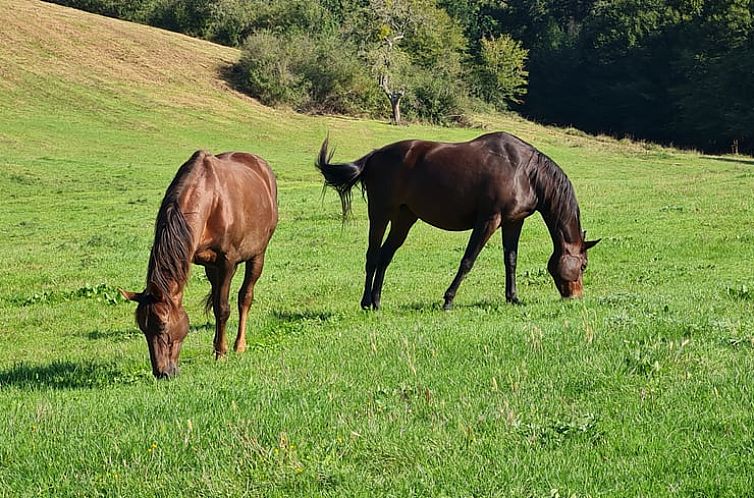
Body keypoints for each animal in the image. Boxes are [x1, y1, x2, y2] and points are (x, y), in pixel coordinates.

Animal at [120, 151, 276, 378]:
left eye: (162, 326)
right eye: (143, 328)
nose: (162, 373)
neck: (211, 199)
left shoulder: (227, 262)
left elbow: (222, 308)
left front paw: (221, 354)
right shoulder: (205, 262)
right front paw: (217, 347)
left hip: (257, 254)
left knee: (245, 297)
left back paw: (239, 345)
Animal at [316, 132, 600, 312]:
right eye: (584, 265)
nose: (576, 297)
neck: (525, 171)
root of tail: (373, 157)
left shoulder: (513, 222)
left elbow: (511, 260)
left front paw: (513, 298)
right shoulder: (488, 220)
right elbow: (468, 260)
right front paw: (448, 300)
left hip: (404, 218)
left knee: (385, 256)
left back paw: (376, 302)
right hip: (380, 213)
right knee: (373, 255)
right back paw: (366, 302)